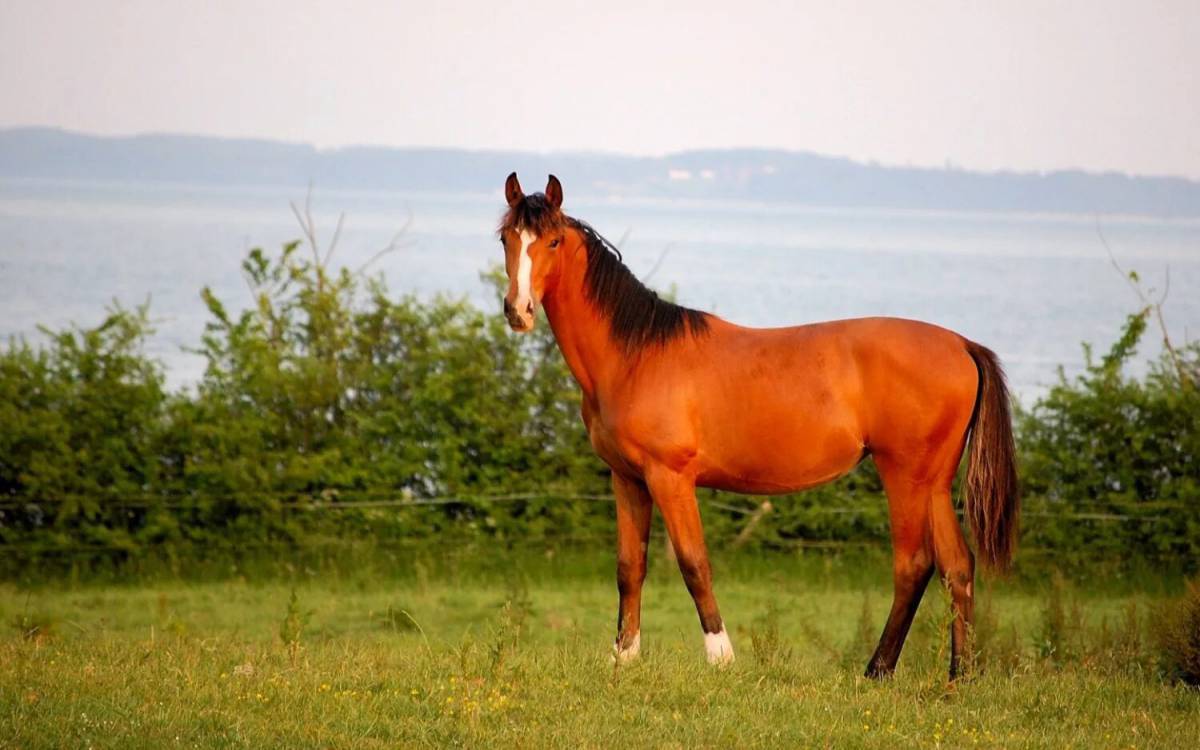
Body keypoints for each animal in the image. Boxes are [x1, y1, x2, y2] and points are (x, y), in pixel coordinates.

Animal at [492, 172, 1017, 676]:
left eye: (553, 241)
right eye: (506, 238)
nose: (517, 311)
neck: (636, 354)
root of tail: (962, 345)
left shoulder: (670, 478)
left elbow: (693, 564)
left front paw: (721, 658)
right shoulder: (627, 479)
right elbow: (629, 566)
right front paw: (623, 657)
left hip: (903, 476)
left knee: (913, 566)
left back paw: (878, 670)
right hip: (934, 483)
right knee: (957, 566)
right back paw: (959, 676)